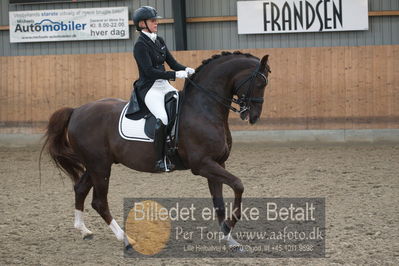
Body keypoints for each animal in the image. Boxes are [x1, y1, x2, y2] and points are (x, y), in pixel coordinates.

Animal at [41, 51, 272, 249]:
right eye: (260, 83)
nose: (253, 117)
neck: (204, 108)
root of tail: (76, 110)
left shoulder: (217, 163)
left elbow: (219, 203)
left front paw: (229, 238)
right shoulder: (203, 164)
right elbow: (238, 184)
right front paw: (230, 226)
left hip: (96, 164)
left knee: (80, 188)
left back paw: (84, 231)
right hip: (100, 166)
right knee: (99, 202)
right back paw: (127, 239)